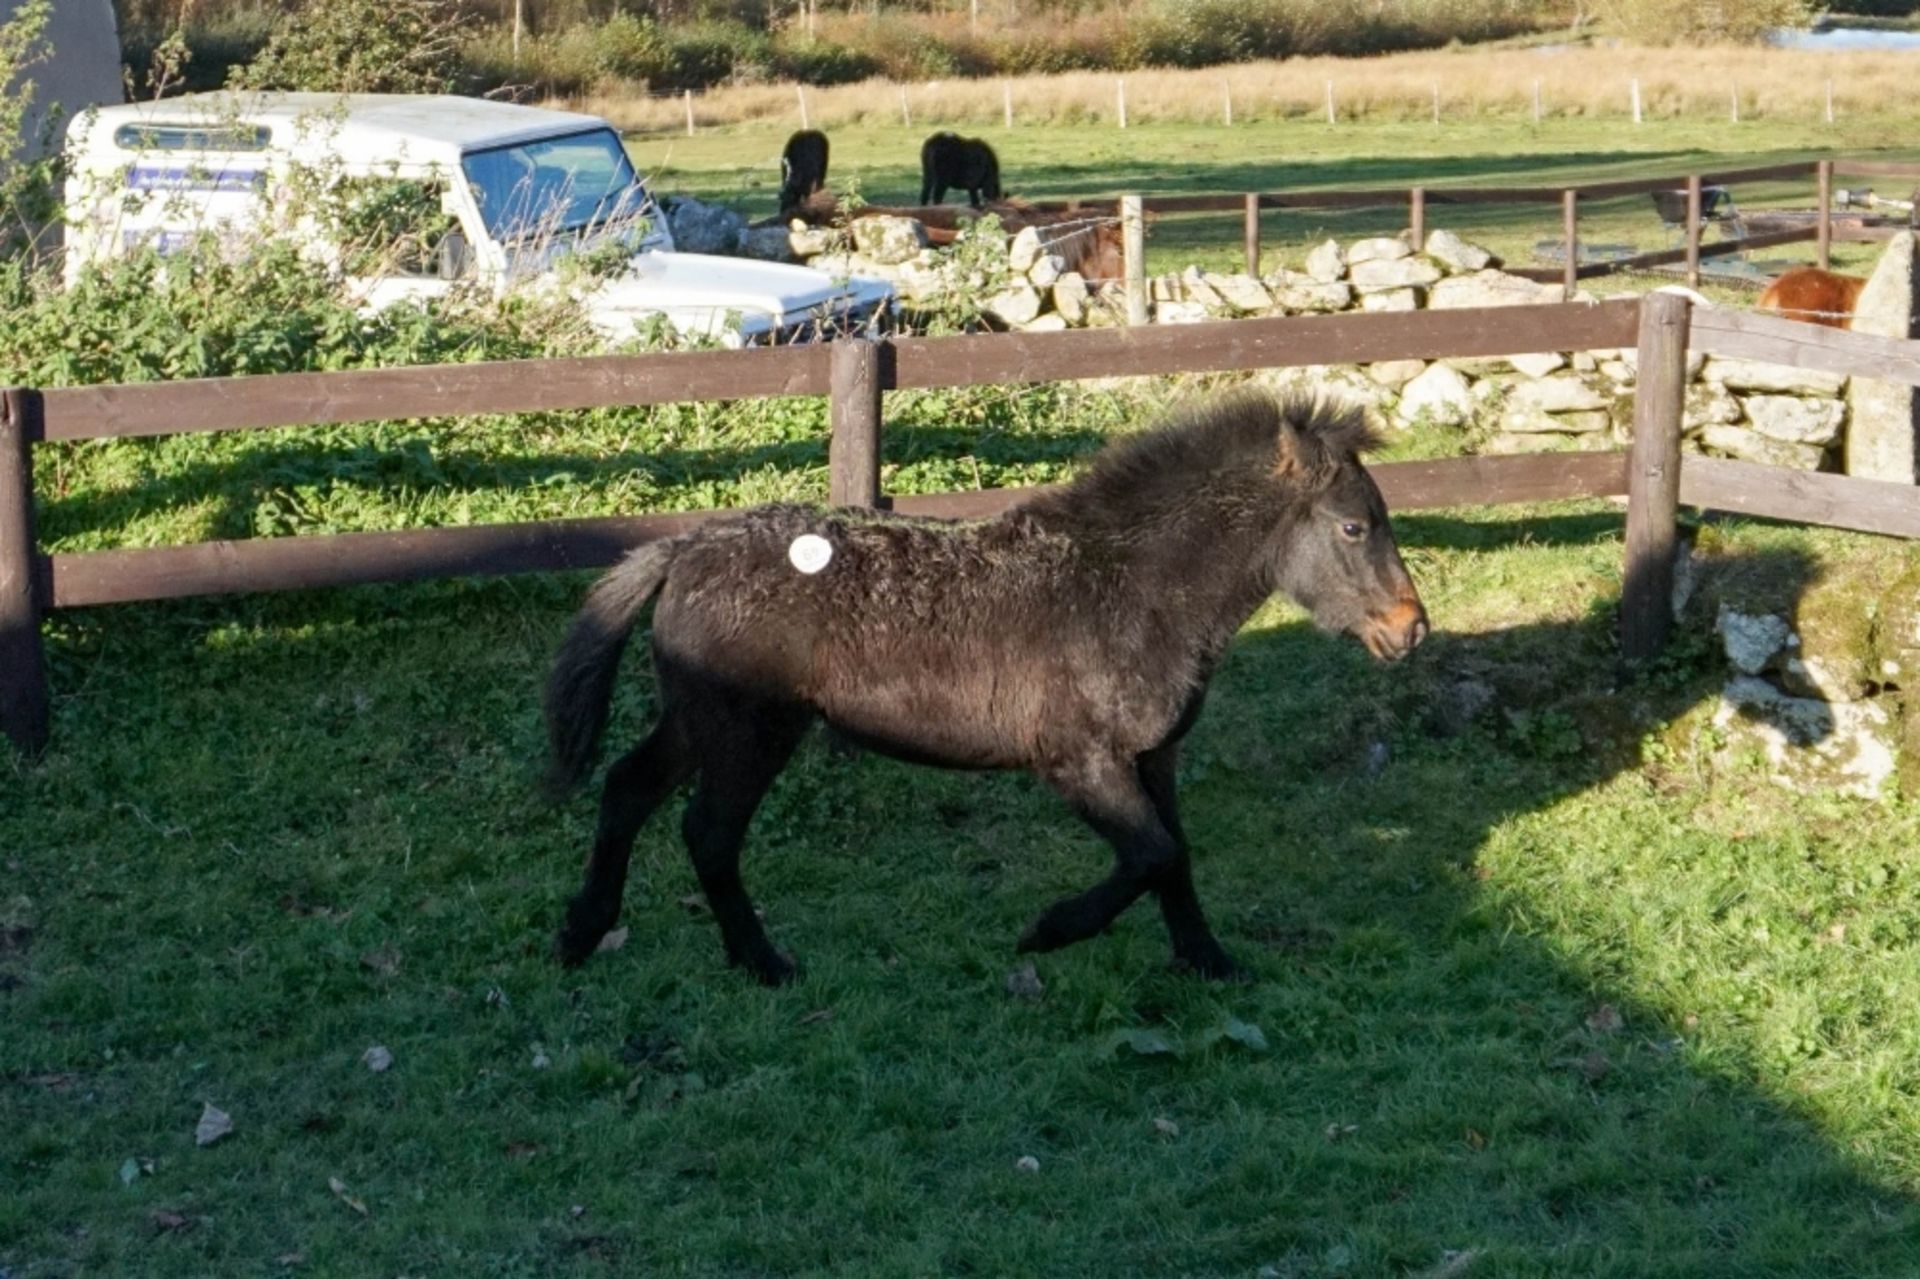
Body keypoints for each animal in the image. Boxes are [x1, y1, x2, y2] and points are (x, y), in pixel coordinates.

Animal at [549, 393, 1436, 979]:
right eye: (1355, 526)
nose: (1411, 629)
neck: (1132, 589)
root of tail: (683, 550)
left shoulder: (1154, 757)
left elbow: (1174, 855)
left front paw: (1209, 961)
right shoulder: (1081, 761)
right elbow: (1149, 852)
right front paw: (1049, 930)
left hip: (699, 721)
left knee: (628, 788)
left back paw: (581, 934)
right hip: (749, 733)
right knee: (707, 832)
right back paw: (764, 961)